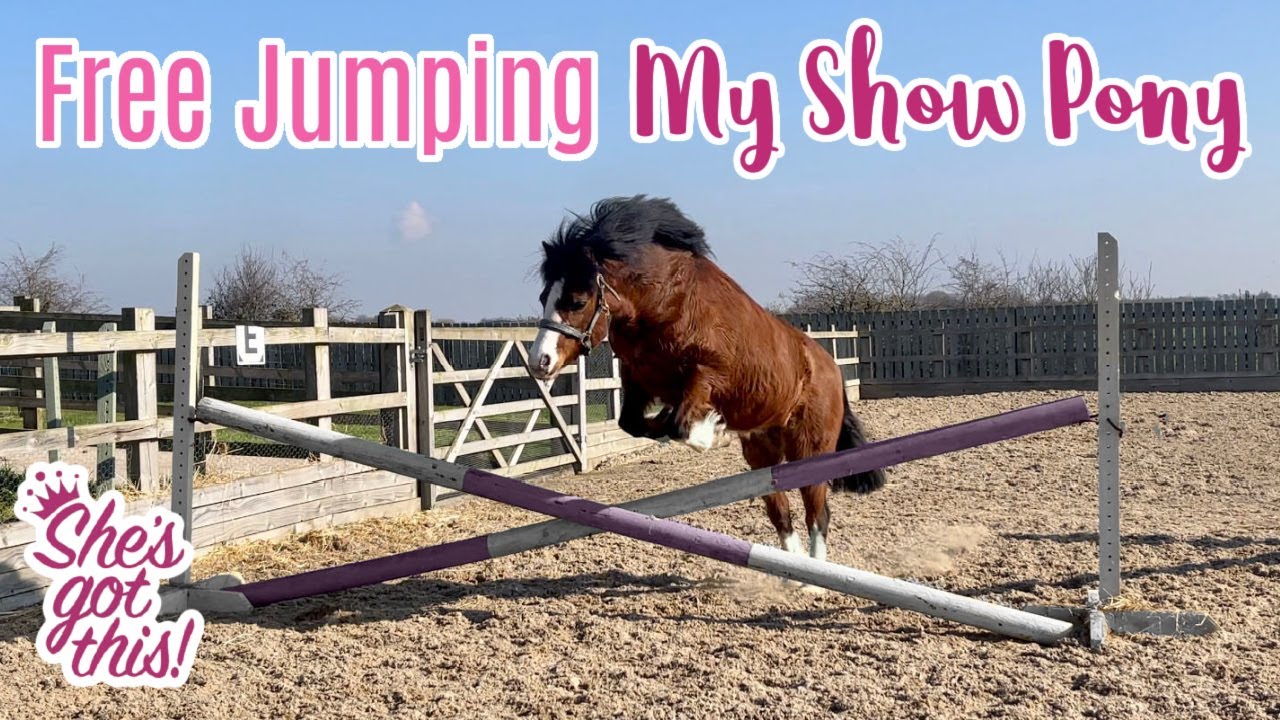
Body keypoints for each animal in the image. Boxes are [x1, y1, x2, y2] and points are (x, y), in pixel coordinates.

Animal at [527, 194, 886, 578]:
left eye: (577, 301)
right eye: (543, 297)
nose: (539, 362)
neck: (665, 304)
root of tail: (831, 368)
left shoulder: (710, 374)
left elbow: (681, 424)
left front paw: (711, 431)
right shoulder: (637, 377)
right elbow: (636, 424)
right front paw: (690, 425)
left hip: (810, 450)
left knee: (817, 513)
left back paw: (814, 578)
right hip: (763, 453)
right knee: (781, 511)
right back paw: (794, 571)